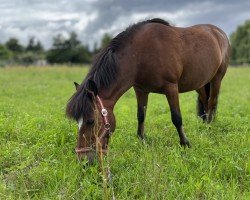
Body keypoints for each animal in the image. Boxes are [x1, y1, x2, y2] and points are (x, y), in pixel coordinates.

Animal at [65, 18, 229, 163]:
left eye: (91, 121)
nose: (83, 161)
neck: (141, 54)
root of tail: (219, 32)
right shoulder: (140, 89)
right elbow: (141, 115)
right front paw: (142, 139)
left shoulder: (171, 87)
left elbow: (176, 117)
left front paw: (185, 143)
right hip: (200, 83)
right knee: (205, 101)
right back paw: (204, 124)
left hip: (217, 79)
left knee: (212, 102)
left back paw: (209, 127)